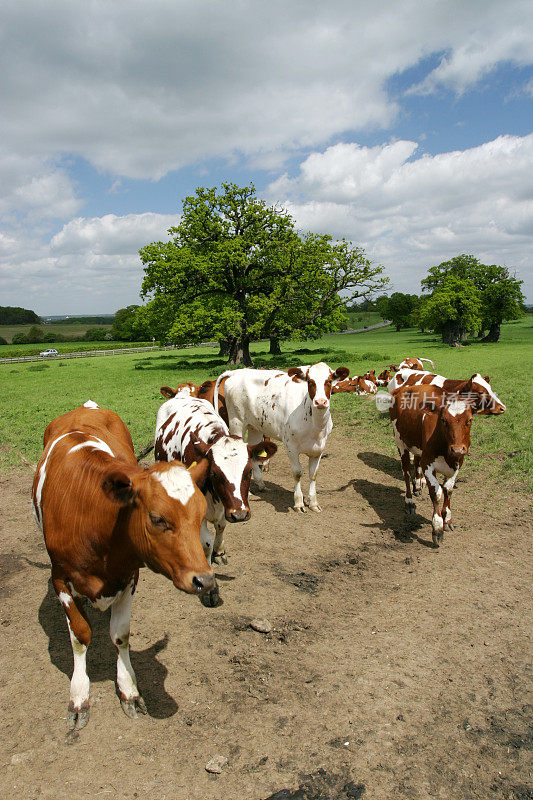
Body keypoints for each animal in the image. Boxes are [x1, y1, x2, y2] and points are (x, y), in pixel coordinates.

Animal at [31, 400, 213, 732]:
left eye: (200, 514)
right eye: (157, 518)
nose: (204, 581)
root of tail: (86, 406)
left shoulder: (129, 576)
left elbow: (121, 634)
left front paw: (129, 688)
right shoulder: (60, 578)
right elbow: (80, 635)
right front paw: (79, 695)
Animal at [212, 362, 350, 512]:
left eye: (329, 381)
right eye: (310, 381)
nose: (320, 402)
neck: (314, 425)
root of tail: (236, 372)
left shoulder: (319, 448)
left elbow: (313, 474)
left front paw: (313, 503)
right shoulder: (291, 446)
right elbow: (297, 473)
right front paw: (299, 502)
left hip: (255, 426)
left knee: (252, 452)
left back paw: (260, 484)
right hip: (237, 422)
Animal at [388, 384, 472, 548]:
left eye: (469, 420)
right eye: (444, 420)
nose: (457, 449)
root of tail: (402, 389)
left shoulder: (458, 463)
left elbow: (448, 489)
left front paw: (447, 518)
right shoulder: (428, 465)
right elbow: (437, 493)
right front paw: (437, 527)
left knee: (416, 463)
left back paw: (418, 486)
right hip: (400, 442)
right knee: (406, 472)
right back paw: (409, 502)